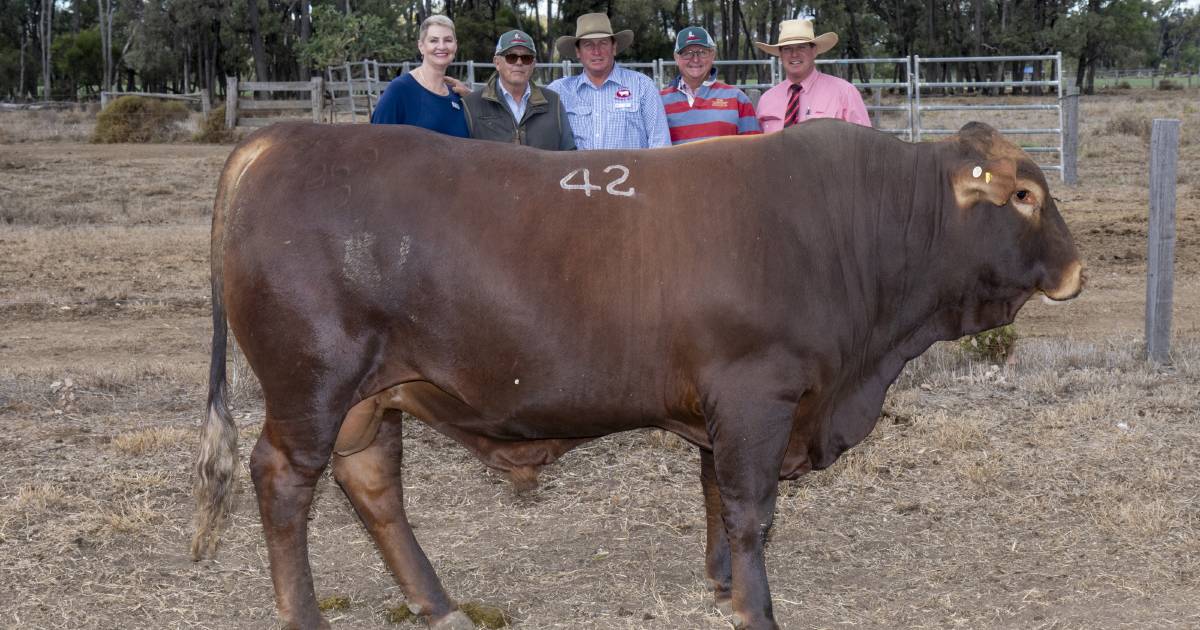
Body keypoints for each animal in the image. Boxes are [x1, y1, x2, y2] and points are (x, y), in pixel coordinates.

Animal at [192, 119, 1084, 628]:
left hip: (369, 397)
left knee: (372, 482)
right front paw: (756, 608)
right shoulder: (758, 393)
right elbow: (751, 509)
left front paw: (721, 586)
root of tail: (281, 137)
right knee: (284, 482)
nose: (1077, 270)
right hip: (311, 381)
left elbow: (716, 495)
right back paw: (306, 616)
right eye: (1025, 195)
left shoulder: (724, 406)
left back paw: (438, 606)